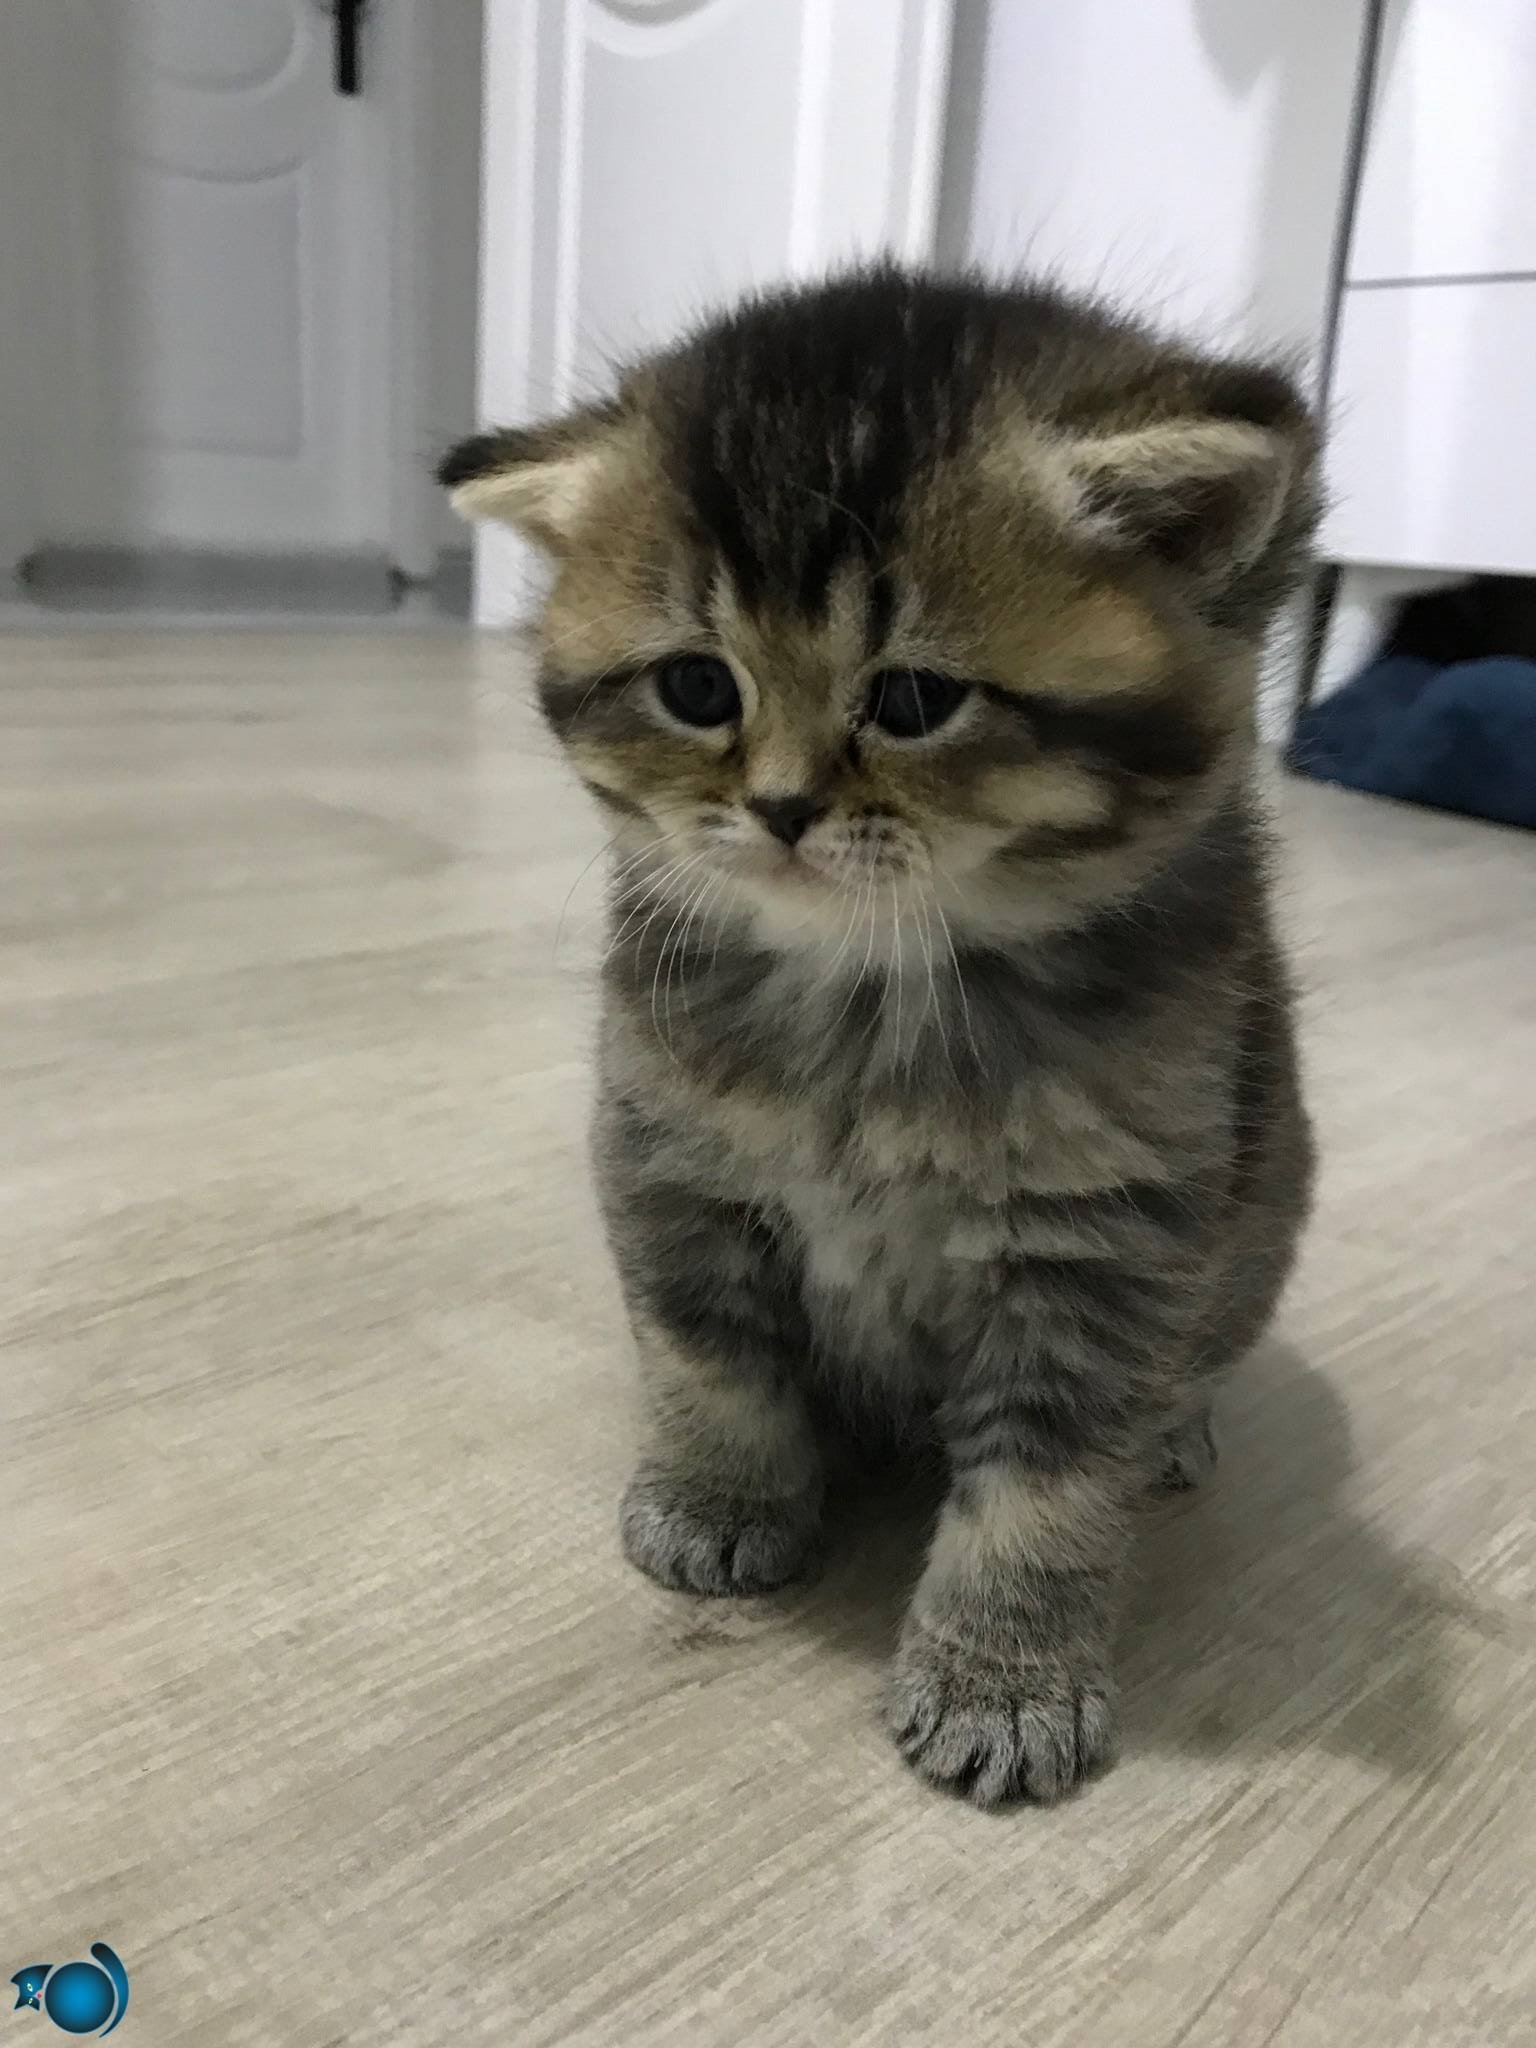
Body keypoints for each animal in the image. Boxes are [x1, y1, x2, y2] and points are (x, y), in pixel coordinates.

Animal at [441, 266, 1318, 1808]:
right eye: (697, 688)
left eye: (914, 700)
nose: (783, 808)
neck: (874, 994)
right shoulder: (671, 1163)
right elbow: (708, 1362)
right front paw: (720, 1498)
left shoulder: (1110, 1244)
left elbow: (1047, 1488)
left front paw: (1004, 1684)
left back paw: (1179, 1428)